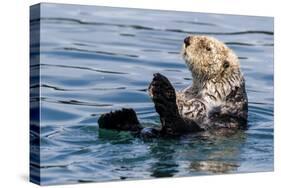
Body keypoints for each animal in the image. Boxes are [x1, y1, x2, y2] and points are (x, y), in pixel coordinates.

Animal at [97, 36, 246, 137]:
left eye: (208, 48)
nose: (187, 40)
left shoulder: (205, 104)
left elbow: (189, 109)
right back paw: (115, 117)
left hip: (186, 129)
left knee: (173, 125)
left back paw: (163, 89)